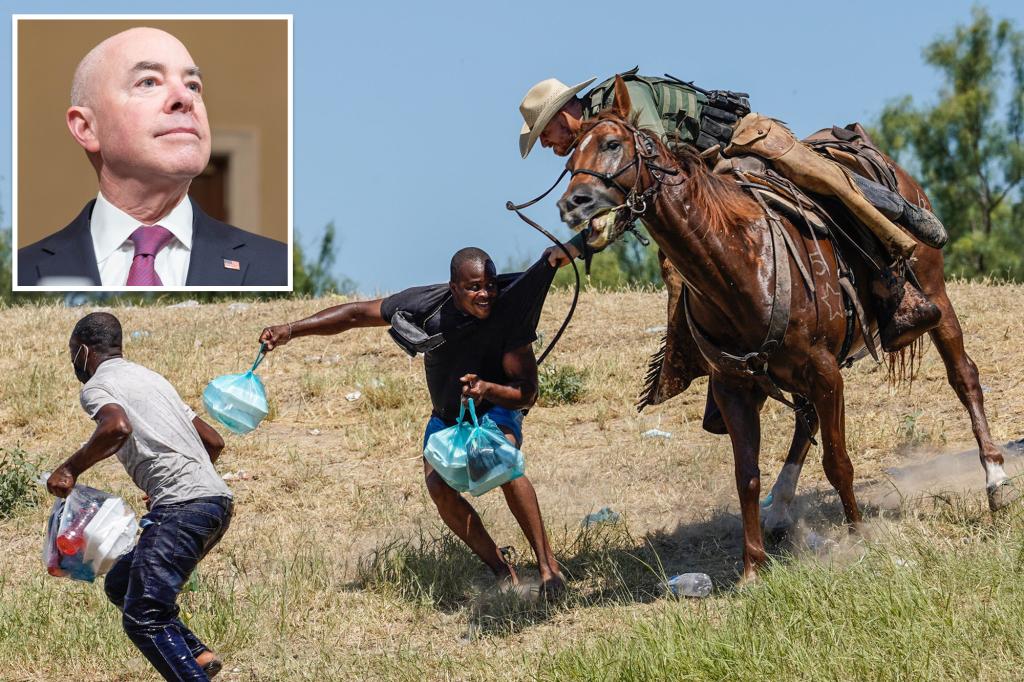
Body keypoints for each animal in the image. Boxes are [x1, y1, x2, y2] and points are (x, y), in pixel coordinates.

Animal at [561, 74, 1015, 581]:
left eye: (612, 144)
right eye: (570, 159)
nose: (573, 203)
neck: (738, 261)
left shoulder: (824, 371)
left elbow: (838, 462)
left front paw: (859, 538)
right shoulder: (735, 386)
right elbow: (746, 475)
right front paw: (752, 568)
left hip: (935, 293)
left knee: (964, 376)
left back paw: (995, 479)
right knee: (805, 420)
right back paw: (780, 509)